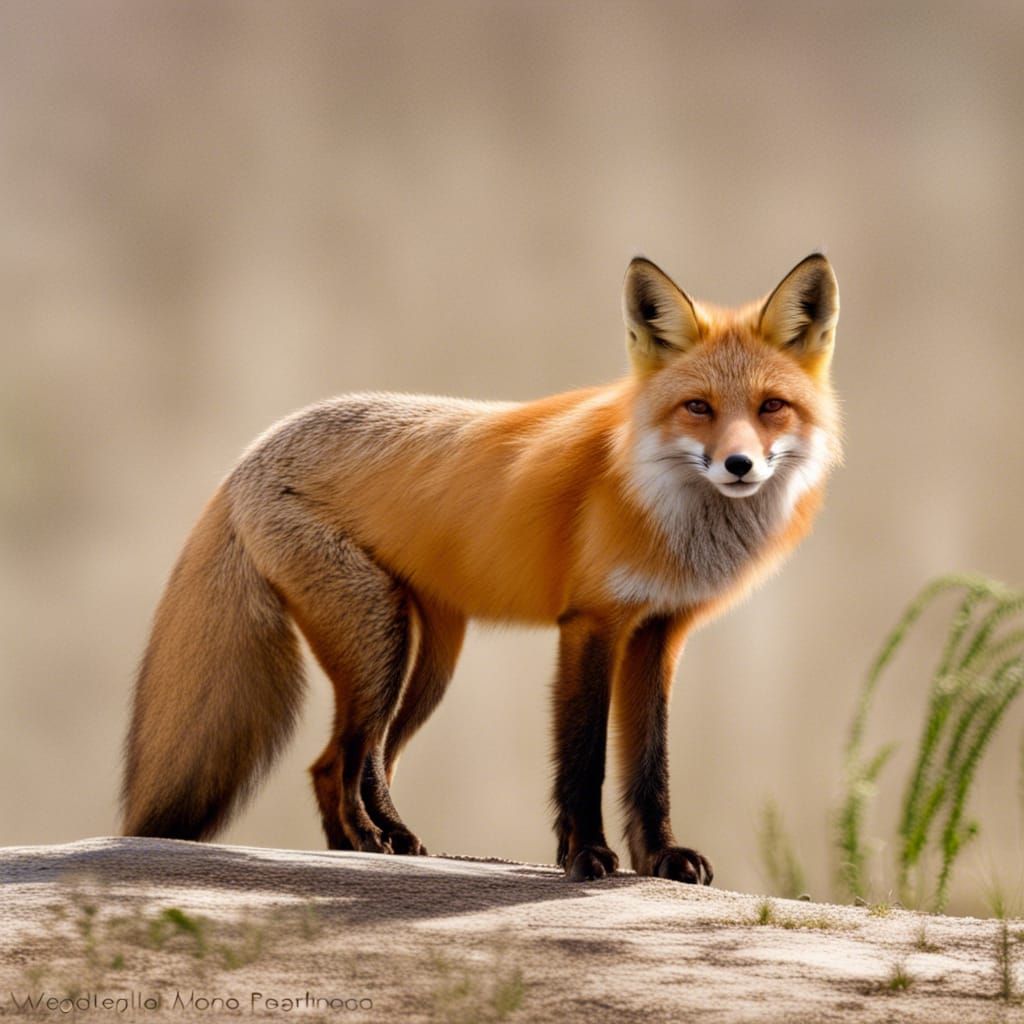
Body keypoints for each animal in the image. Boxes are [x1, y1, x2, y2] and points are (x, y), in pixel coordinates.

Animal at [121, 253, 841, 885]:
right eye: (698, 407)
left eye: (771, 407)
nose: (739, 466)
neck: (669, 512)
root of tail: (251, 452)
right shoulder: (591, 623)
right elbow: (582, 759)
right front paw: (585, 857)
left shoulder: (658, 633)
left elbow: (649, 766)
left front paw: (659, 858)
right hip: (378, 642)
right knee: (339, 760)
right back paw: (367, 843)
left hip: (426, 661)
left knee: (366, 759)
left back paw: (382, 843)